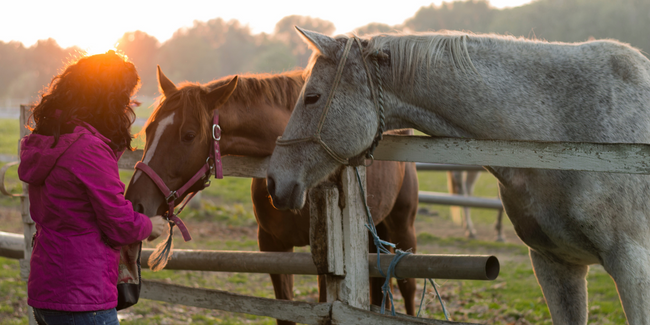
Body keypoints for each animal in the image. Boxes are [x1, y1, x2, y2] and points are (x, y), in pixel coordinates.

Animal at [124, 67, 418, 322]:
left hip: (402, 227)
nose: (136, 203)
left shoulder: (326, 262)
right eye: (148, 129)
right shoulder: (274, 248)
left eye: (188, 135)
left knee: (408, 287)